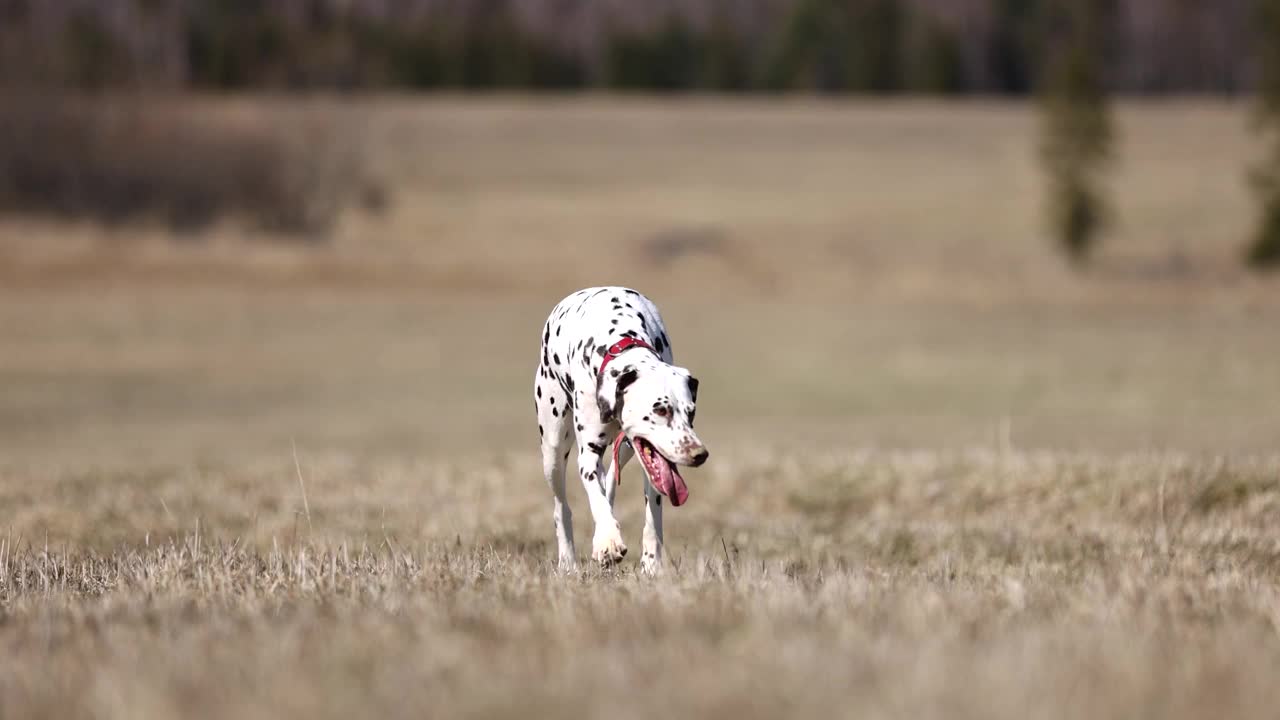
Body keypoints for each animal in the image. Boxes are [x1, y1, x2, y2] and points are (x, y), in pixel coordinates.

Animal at [532, 285, 711, 571]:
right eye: (661, 410)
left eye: (690, 411)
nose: (698, 454)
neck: (620, 342)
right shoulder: (588, 454)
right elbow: (595, 495)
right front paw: (608, 541)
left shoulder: (651, 459)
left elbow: (652, 515)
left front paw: (651, 564)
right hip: (553, 450)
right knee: (562, 508)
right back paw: (568, 562)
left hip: (624, 449)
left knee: (610, 480)